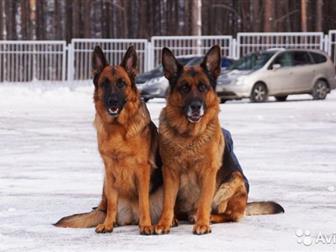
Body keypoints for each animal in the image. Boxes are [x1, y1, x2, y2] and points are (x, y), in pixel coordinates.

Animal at [54, 46, 163, 235]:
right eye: (104, 83)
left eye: (121, 83)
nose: (112, 101)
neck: (118, 129)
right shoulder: (110, 170)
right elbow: (112, 202)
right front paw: (108, 224)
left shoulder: (142, 170)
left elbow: (143, 201)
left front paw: (146, 225)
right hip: (105, 185)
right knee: (106, 206)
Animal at [156, 44, 284, 234]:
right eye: (184, 88)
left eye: (203, 87)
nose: (196, 107)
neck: (189, 137)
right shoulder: (170, 172)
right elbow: (167, 202)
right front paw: (164, 223)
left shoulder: (208, 172)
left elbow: (204, 202)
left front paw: (202, 224)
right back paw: (177, 218)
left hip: (235, 179)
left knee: (230, 215)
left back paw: (207, 217)